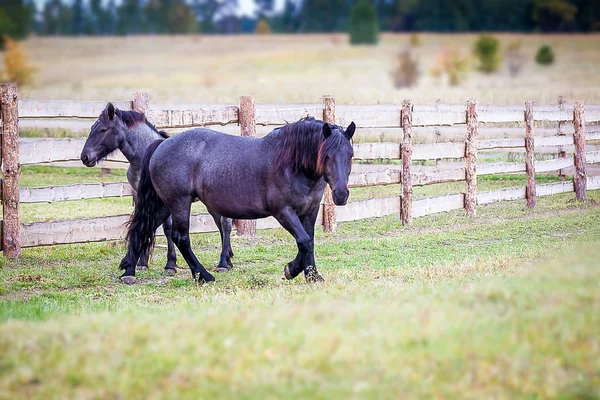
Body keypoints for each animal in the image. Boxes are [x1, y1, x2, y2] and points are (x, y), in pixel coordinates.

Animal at [122, 113, 356, 284]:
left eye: (350, 154)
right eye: (326, 155)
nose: (341, 194)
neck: (292, 164)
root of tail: (162, 144)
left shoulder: (311, 211)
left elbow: (309, 242)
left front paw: (313, 275)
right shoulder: (283, 212)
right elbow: (304, 242)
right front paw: (291, 269)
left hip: (164, 204)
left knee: (142, 228)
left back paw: (129, 271)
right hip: (179, 202)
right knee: (180, 237)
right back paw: (203, 276)